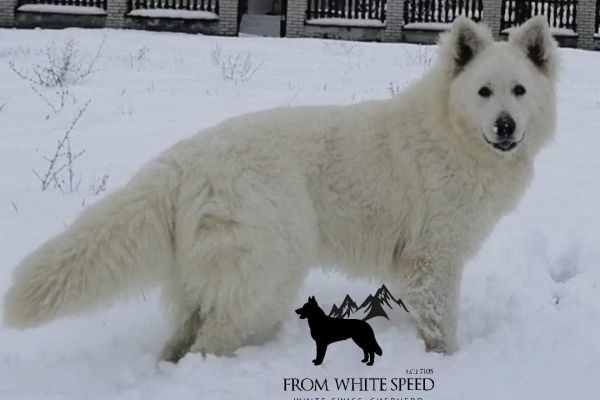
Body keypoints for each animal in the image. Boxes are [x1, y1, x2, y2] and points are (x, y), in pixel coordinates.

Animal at [3, 15, 556, 360]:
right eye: (483, 91)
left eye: (519, 91)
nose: (505, 126)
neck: (451, 133)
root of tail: (183, 162)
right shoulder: (433, 259)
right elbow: (441, 324)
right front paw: (447, 361)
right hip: (269, 272)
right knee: (211, 339)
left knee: (179, 343)